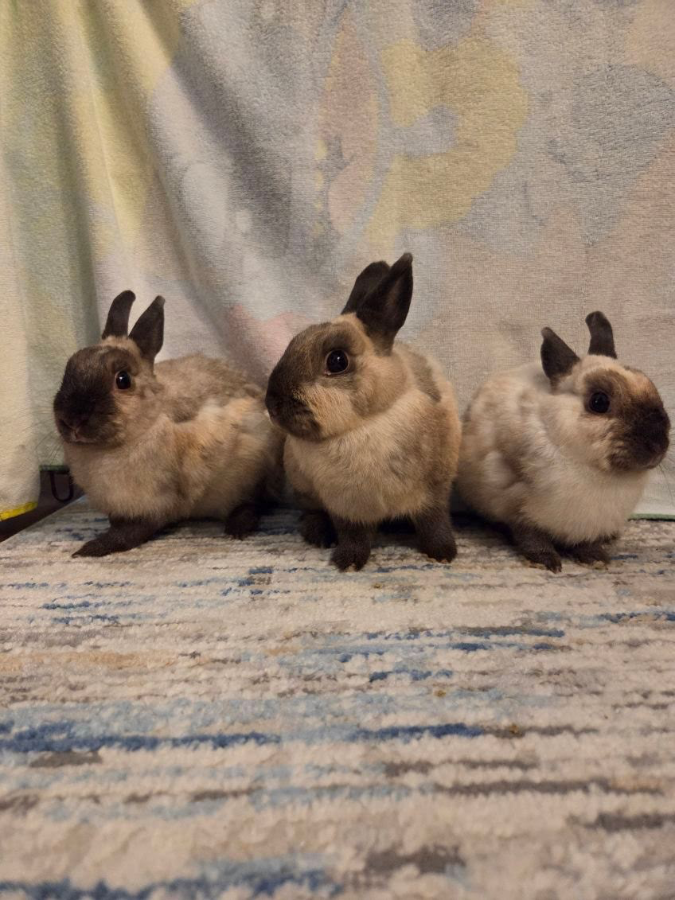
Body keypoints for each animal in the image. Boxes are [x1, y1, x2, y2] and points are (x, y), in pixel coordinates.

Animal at [53, 290, 283, 557]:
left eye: (123, 380)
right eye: (69, 367)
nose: (72, 420)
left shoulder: (156, 503)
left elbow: (132, 533)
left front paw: (90, 549)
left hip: (248, 473)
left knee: (253, 503)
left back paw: (237, 528)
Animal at [265, 253, 462, 571]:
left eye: (337, 360)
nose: (272, 404)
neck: (367, 423)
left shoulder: (434, 492)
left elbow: (434, 522)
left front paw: (444, 552)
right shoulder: (348, 505)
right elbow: (353, 534)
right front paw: (348, 561)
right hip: (302, 485)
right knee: (310, 511)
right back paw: (318, 534)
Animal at [456, 311, 670, 572]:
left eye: (651, 386)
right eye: (599, 402)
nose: (658, 447)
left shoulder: (587, 522)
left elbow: (584, 542)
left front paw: (596, 558)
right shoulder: (517, 505)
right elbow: (530, 534)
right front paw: (546, 561)